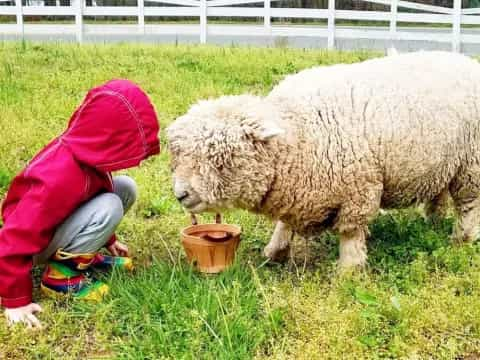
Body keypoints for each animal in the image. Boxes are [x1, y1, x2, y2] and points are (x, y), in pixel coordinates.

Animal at [167, 52, 480, 268]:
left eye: (222, 159)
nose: (181, 194)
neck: (298, 132)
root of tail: (466, 60)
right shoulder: (297, 190)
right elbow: (284, 224)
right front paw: (275, 253)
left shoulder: (359, 191)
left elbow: (351, 233)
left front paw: (349, 271)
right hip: (442, 162)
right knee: (438, 192)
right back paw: (432, 222)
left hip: (471, 165)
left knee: (468, 205)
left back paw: (462, 240)